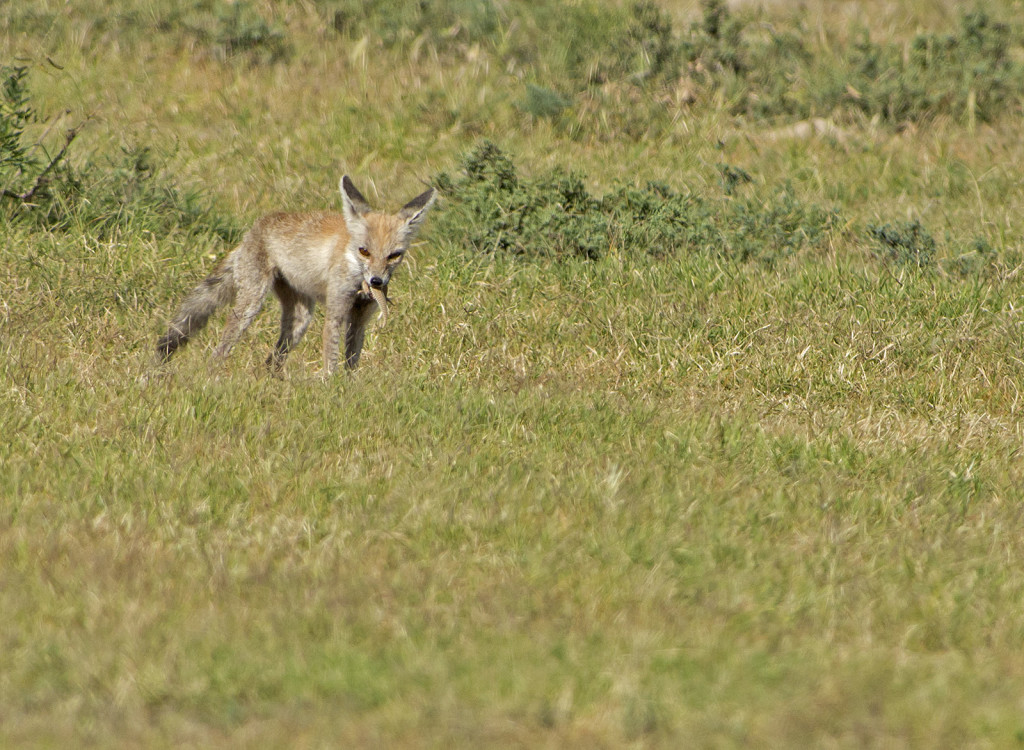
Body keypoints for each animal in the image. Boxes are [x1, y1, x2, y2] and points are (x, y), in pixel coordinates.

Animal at [155, 176, 436, 375]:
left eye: (394, 256)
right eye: (364, 251)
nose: (376, 282)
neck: (357, 276)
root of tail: (253, 229)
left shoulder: (359, 319)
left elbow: (352, 362)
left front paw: (348, 389)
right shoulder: (336, 312)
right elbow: (331, 360)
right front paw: (330, 389)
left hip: (299, 320)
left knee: (271, 361)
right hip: (250, 307)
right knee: (220, 351)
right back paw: (211, 377)